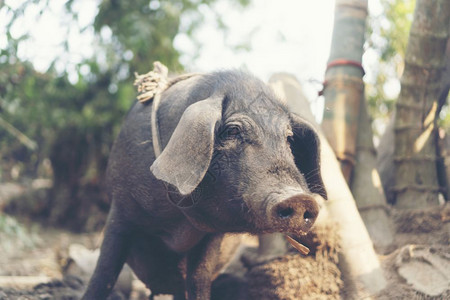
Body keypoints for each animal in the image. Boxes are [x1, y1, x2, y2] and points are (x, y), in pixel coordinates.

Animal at [81, 71, 326, 300]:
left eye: (289, 138)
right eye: (232, 130)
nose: (299, 198)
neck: (175, 226)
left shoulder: (211, 235)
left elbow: (200, 277)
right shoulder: (120, 207)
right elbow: (104, 272)